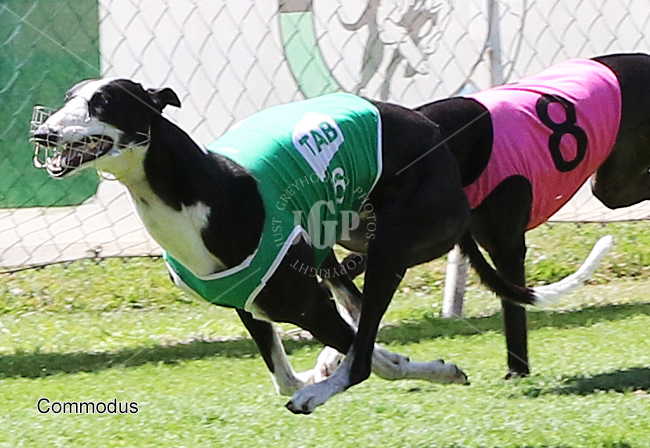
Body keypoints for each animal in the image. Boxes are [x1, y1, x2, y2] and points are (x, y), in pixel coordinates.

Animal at [29, 78, 603, 413]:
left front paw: (430, 370)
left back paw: (327, 383)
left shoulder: (302, 302)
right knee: (356, 305)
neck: (205, 190)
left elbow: (364, 358)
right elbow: (291, 373)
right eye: (67, 99)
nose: (43, 134)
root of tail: (439, 145)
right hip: (343, 240)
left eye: (102, 103)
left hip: (393, 243)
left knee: (363, 335)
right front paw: (331, 365)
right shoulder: (249, 303)